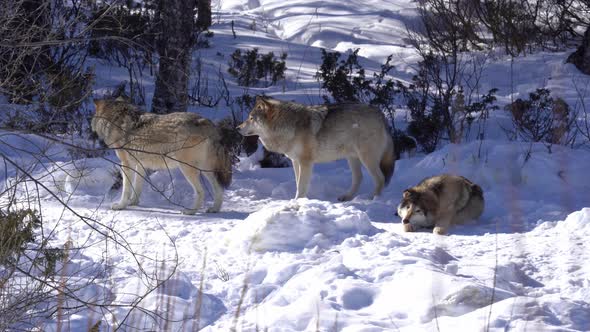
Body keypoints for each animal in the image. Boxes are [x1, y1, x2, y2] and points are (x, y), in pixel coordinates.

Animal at [91, 98, 232, 213]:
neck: (115, 120)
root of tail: (206, 122)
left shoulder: (126, 164)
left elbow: (126, 189)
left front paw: (121, 206)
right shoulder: (140, 164)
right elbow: (137, 187)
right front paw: (133, 203)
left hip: (187, 169)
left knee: (201, 191)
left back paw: (190, 211)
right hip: (206, 169)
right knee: (219, 188)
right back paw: (214, 209)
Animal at [237, 96, 398, 200]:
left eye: (251, 118)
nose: (237, 128)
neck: (289, 125)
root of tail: (380, 114)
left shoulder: (306, 163)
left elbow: (301, 186)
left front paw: (297, 202)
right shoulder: (296, 162)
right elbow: (298, 184)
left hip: (366, 159)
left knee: (380, 179)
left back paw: (371, 199)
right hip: (352, 158)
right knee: (359, 178)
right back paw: (347, 197)